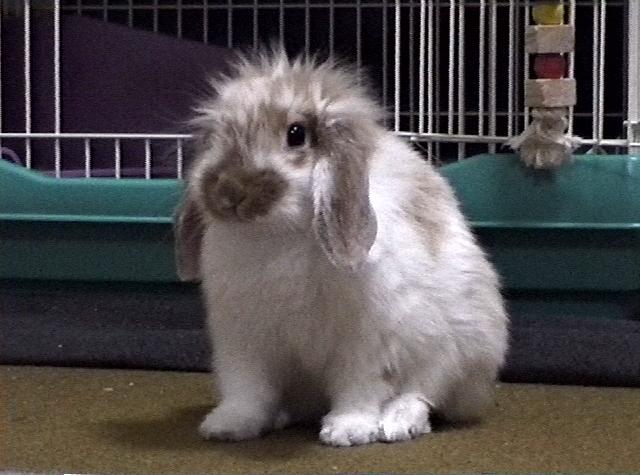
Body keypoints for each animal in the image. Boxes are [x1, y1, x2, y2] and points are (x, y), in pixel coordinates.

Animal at [174, 48, 509, 447]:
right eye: (217, 136)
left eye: (296, 134)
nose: (229, 193)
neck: (276, 234)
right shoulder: (244, 342)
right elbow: (248, 390)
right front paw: (227, 426)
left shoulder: (365, 342)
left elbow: (359, 388)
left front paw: (348, 430)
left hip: (451, 352)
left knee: (423, 393)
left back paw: (398, 424)